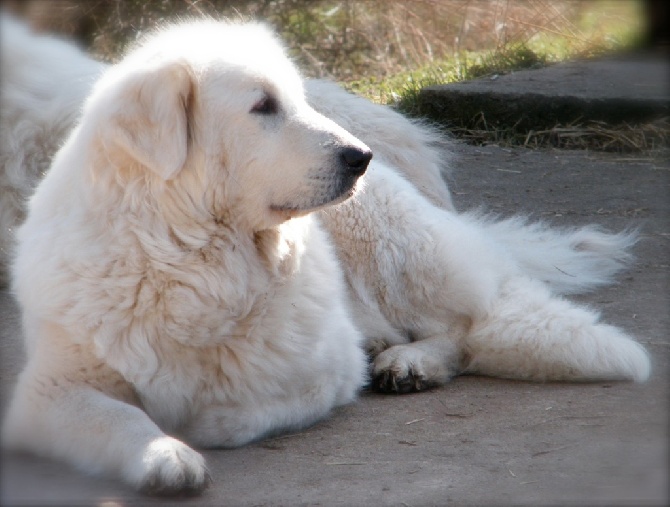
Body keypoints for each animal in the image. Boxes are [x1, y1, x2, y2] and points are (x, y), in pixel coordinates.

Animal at [0, 14, 652, 496]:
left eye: (298, 99)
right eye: (263, 106)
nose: (359, 157)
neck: (190, 260)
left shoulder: (322, 374)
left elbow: (239, 408)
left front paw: (196, 423)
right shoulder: (49, 392)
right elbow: (117, 414)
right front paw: (163, 455)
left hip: (393, 248)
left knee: (470, 323)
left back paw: (410, 361)